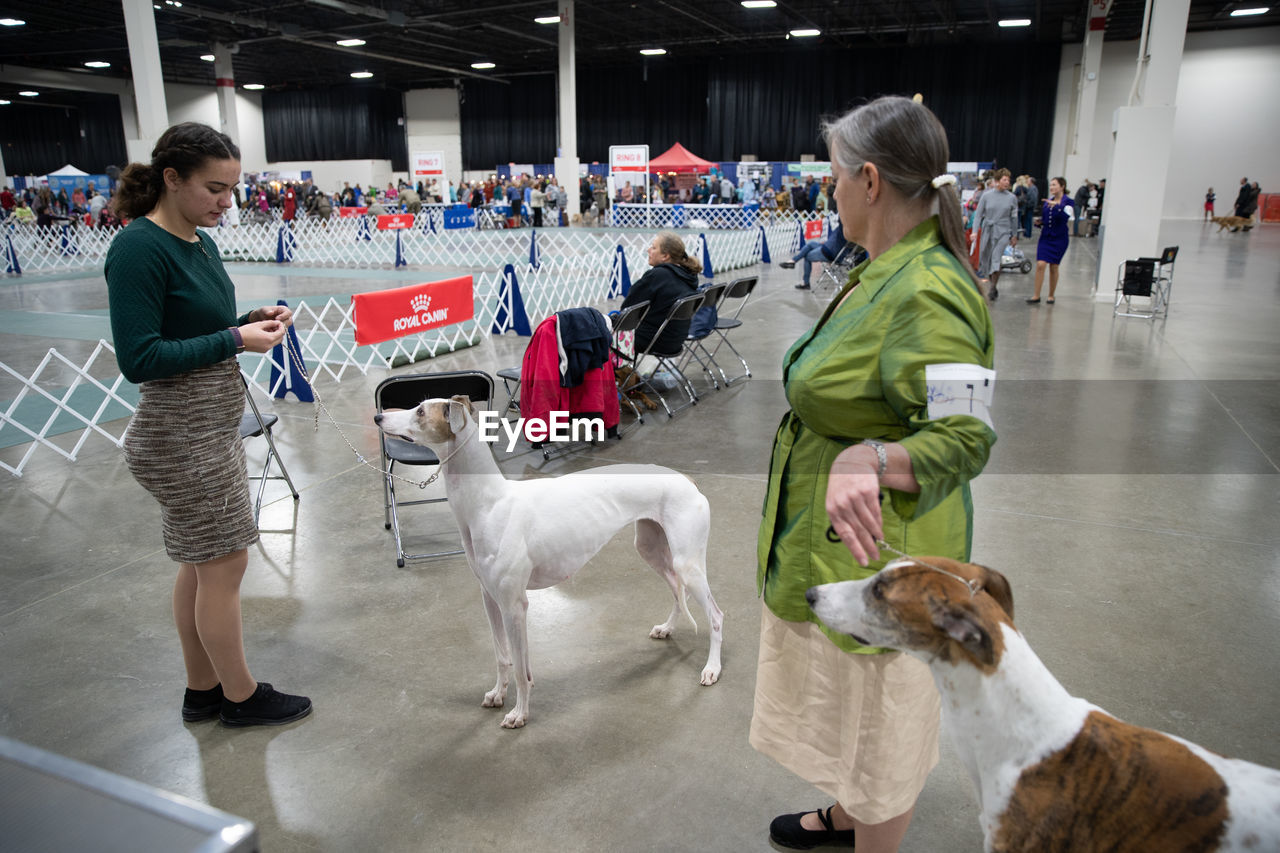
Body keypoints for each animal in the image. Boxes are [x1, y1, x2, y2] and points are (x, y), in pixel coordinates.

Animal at [373, 394, 727, 722]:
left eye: (420, 411)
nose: (378, 416)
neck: (489, 503)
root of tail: (686, 478)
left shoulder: (514, 605)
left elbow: (520, 668)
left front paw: (519, 713)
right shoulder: (490, 598)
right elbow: (503, 657)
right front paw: (497, 695)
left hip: (688, 564)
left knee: (715, 615)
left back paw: (712, 668)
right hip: (651, 549)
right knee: (677, 591)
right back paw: (667, 629)